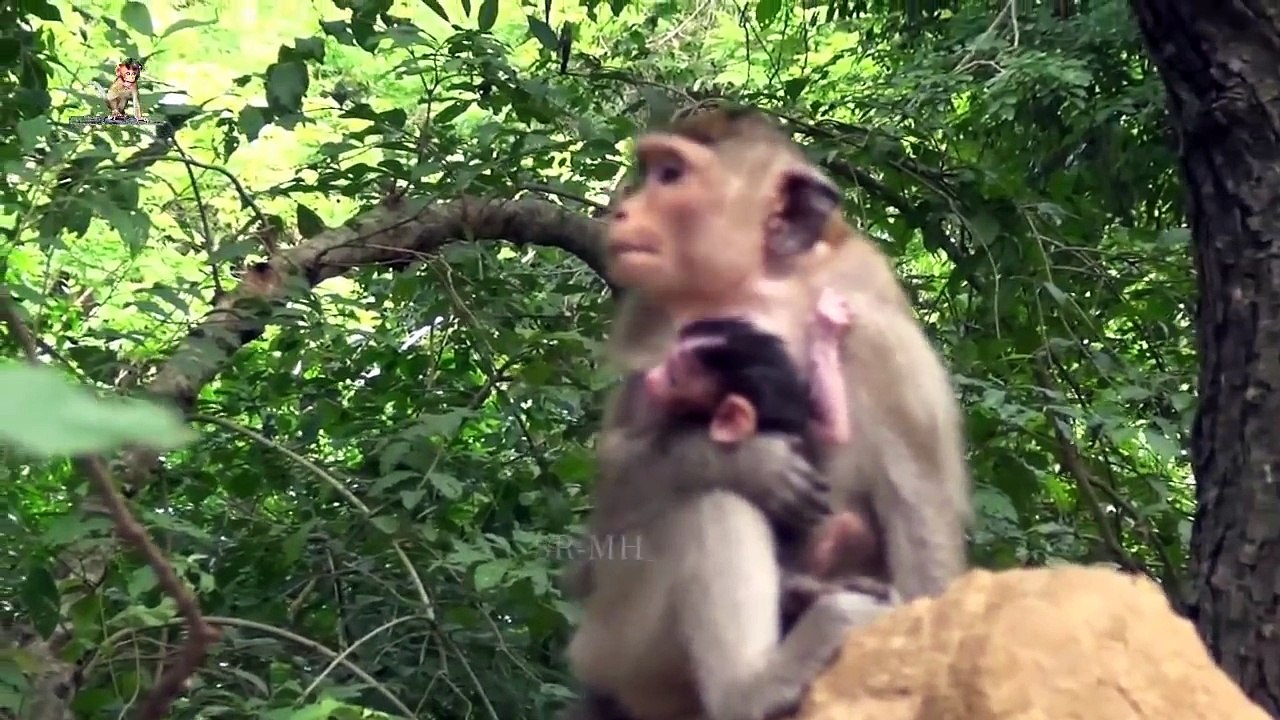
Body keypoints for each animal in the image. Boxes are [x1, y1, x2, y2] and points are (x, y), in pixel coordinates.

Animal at [564, 107, 969, 720]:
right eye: (650, 171)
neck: (762, 288)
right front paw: (748, 460)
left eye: (670, 175)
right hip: (616, 647)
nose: (621, 211)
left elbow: (921, 509)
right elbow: (616, 482)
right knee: (710, 500)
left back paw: (753, 683)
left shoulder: (874, 319)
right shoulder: (652, 326)